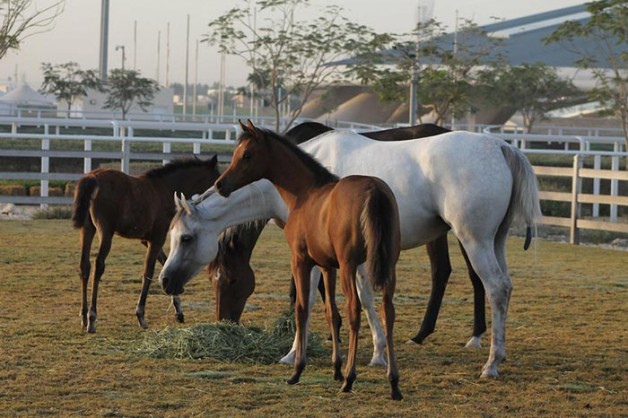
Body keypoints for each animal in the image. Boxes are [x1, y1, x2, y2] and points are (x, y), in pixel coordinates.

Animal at [71, 155, 220, 333]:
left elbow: (164, 264)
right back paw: (92, 318)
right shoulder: (157, 238)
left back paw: (83, 316)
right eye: (217, 178)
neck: (166, 188)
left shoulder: (147, 240)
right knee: (98, 266)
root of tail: (92, 177)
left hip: (87, 229)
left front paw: (179, 311)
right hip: (105, 232)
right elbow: (148, 272)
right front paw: (141, 315)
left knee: (84, 266)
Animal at [214, 120, 403, 400]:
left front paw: (297, 370)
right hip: (388, 266)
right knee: (387, 312)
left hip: (350, 265)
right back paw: (393, 382)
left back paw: (350, 378)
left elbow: (302, 308)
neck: (306, 194)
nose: (220, 185)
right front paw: (335, 369)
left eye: (246, 155)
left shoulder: (301, 261)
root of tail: (374, 190)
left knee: (354, 310)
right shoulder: (327, 266)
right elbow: (330, 312)